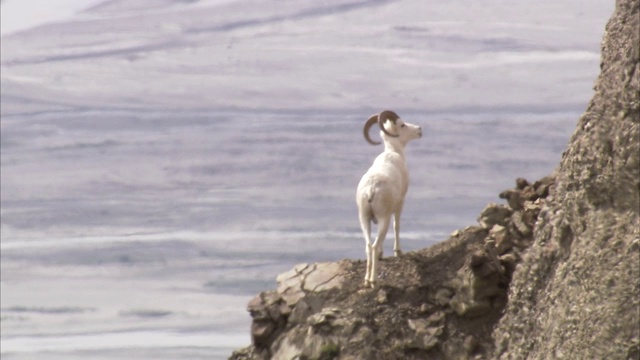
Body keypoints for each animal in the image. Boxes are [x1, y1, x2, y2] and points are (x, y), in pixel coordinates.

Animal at [358, 109, 422, 286]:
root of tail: (371, 189)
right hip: (383, 219)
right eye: (402, 124)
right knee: (374, 245)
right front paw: (398, 252)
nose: (419, 129)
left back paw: (366, 280)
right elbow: (397, 226)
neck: (393, 153)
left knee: (368, 245)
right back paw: (373, 281)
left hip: (364, 219)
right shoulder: (400, 204)